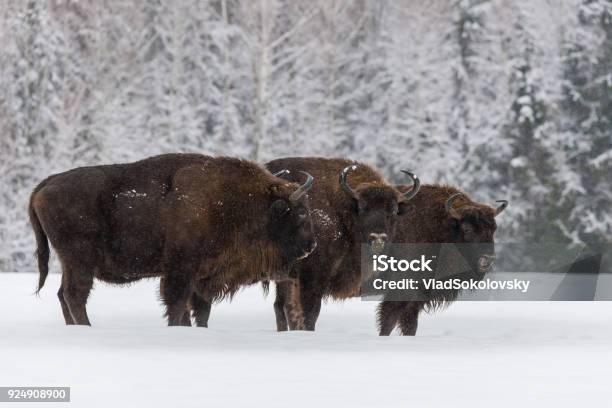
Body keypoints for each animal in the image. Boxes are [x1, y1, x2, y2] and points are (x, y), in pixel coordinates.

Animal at [28, 153, 316, 326]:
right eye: (300, 213)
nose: (310, 246)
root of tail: (45, 185)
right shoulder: (181, 271)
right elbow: (177, 305)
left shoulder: (203, 277)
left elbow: (199, 310)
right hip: (80, 262)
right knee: (74, 295)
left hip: (71, 263)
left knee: (63, 295)